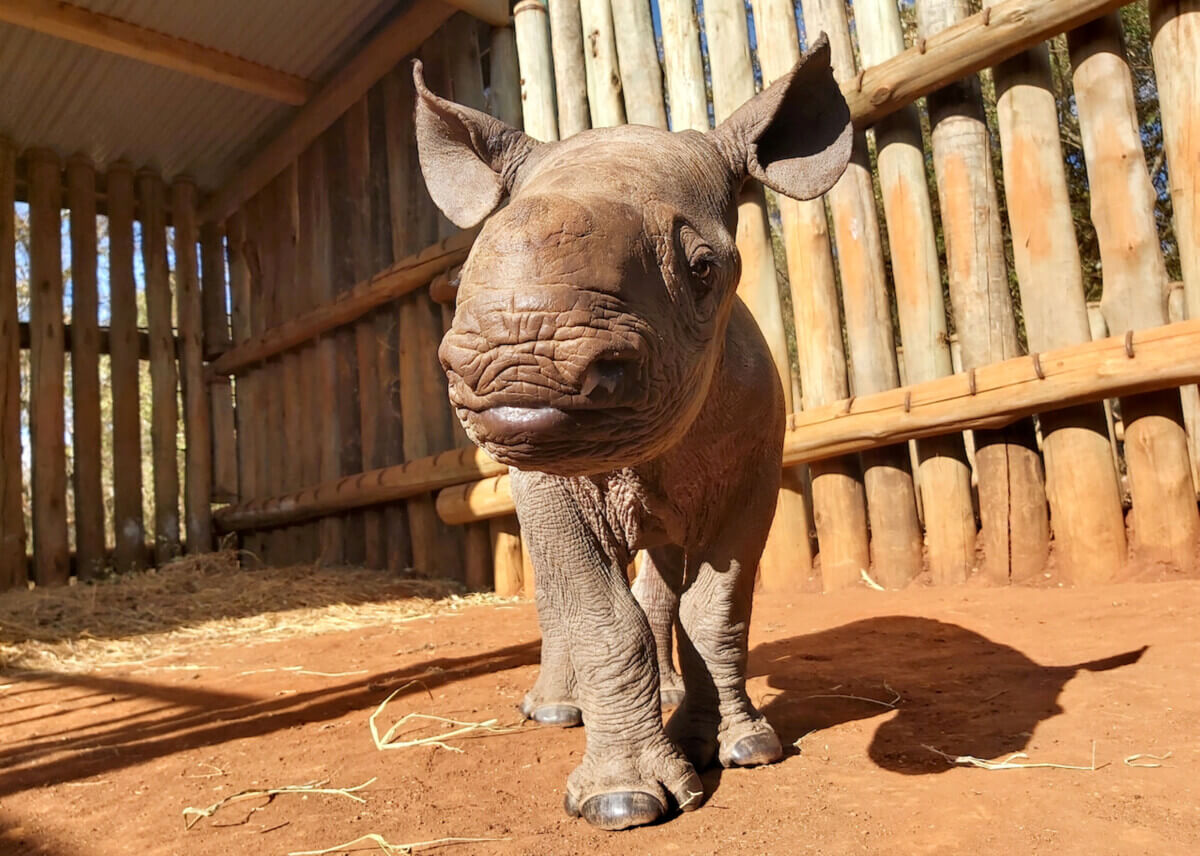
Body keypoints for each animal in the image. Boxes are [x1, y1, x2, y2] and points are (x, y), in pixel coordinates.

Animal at [414, 34, 851, 830]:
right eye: (460, 283)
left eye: (703, 268)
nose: (518, 370)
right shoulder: (547, 476)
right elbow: (597, 612)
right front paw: (622, 803)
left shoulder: (755, 470)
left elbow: (718, 609)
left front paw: (744, 750)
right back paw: (556, 712)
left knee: (666, 574)